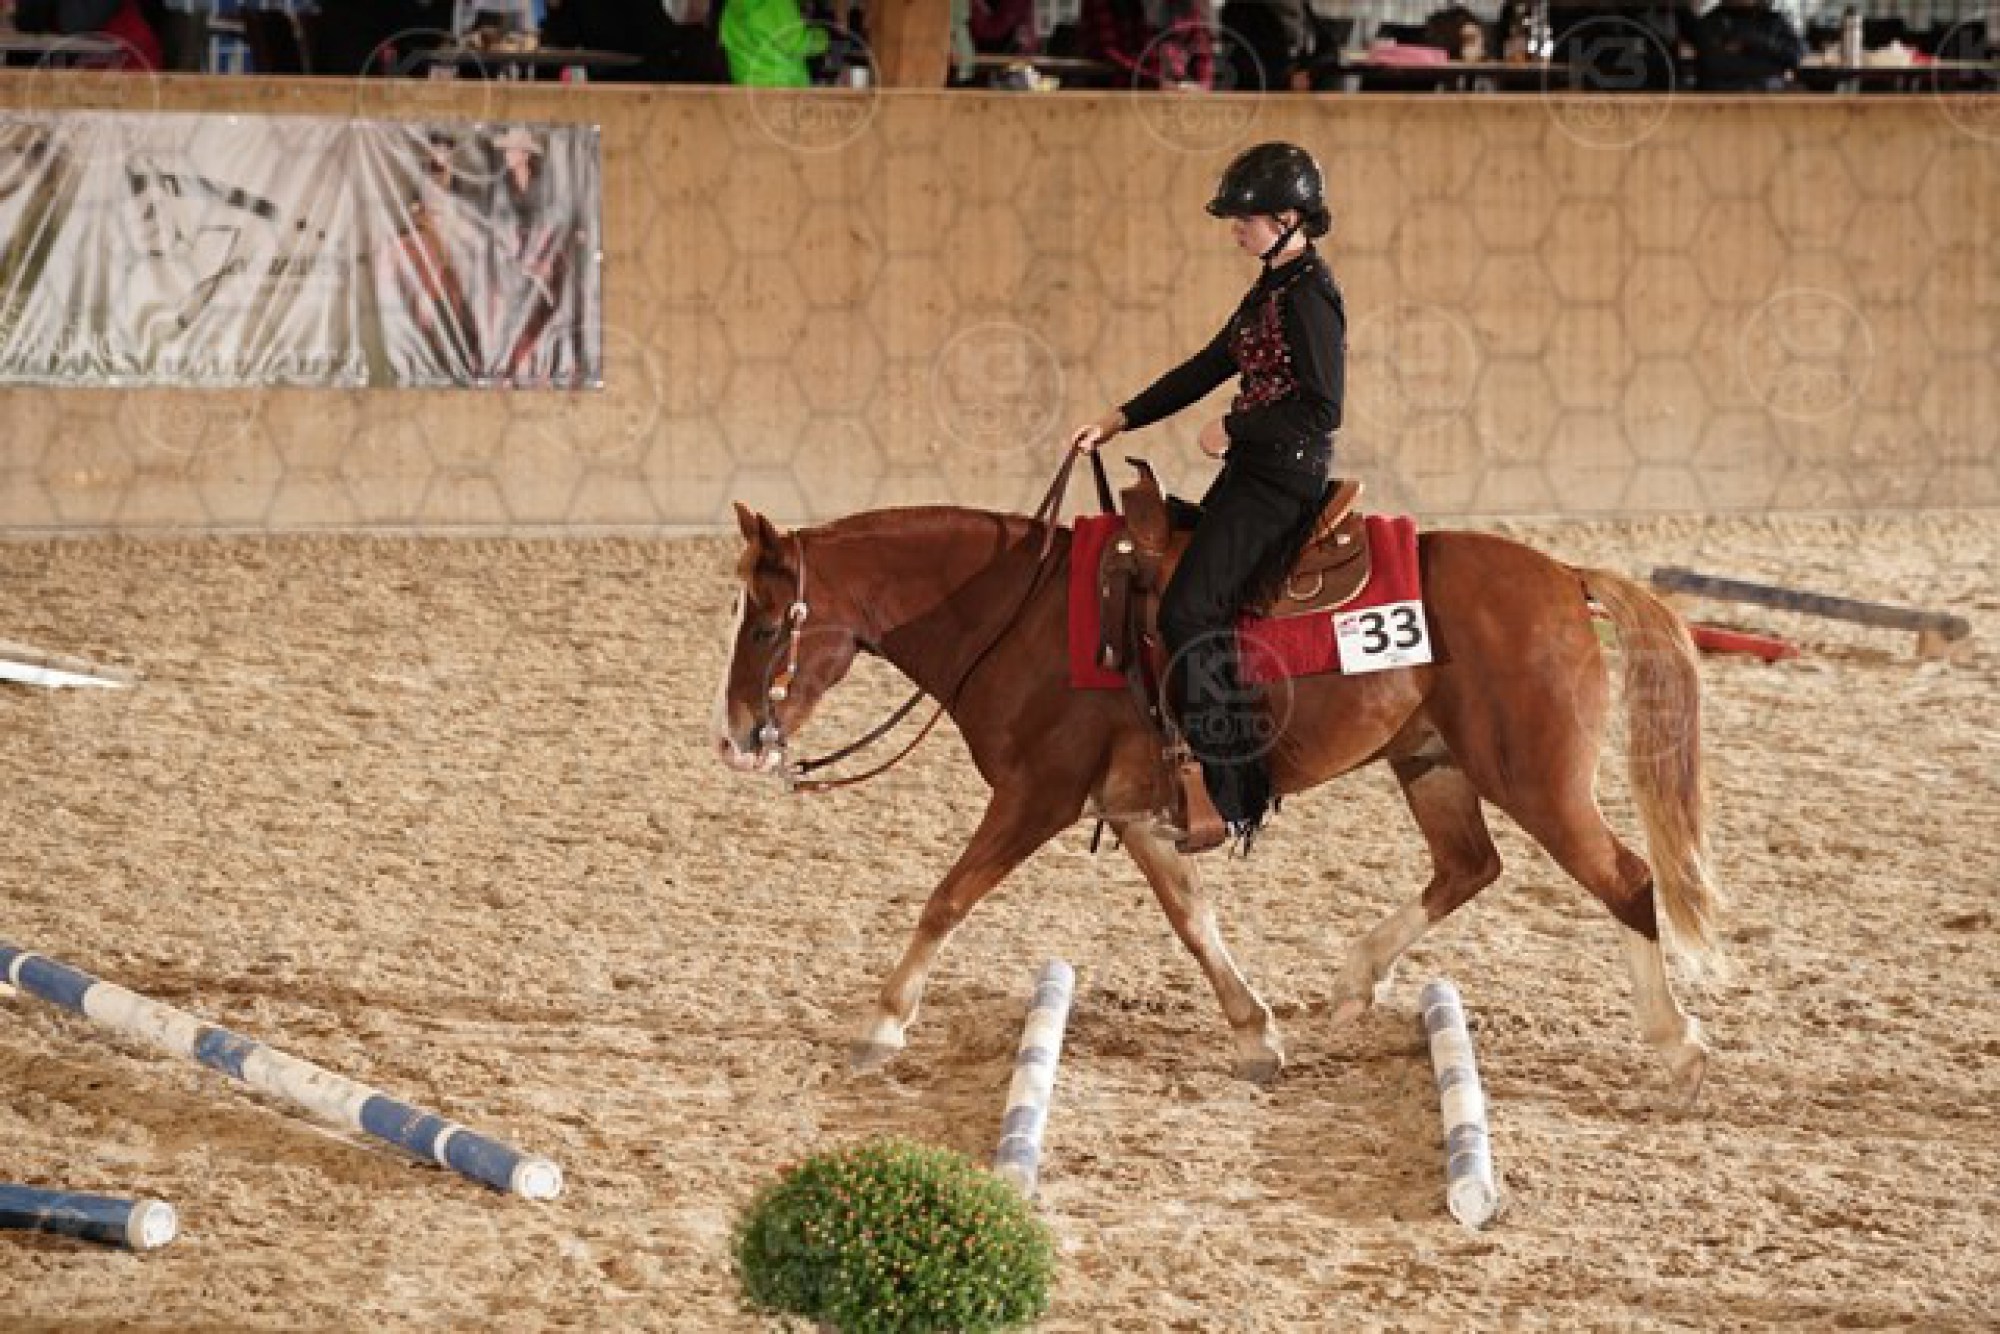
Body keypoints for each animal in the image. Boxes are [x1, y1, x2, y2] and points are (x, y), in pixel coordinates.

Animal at [711, 486, 1719, 1103]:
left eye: (764, 625)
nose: (736, 739)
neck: (1018, 618)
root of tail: (1565, 579)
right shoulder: (1134, 814)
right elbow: (1195, 922)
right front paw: (1254, 1034)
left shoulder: (1036, 797)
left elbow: (948, 897)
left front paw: (882, 1025)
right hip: (1432, 763)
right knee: (1469, 866)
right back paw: (1354, 980)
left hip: (1538, 779)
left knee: (1627, 880)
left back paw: (1678, 1043)